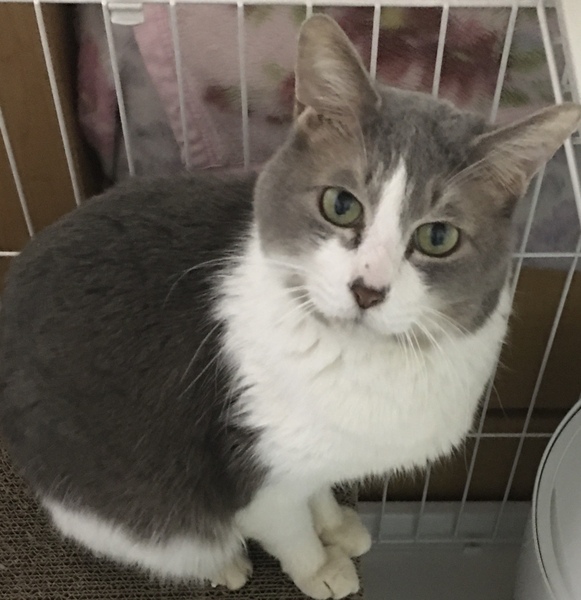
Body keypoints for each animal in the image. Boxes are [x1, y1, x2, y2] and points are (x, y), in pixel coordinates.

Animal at [1, 14, 580, 600]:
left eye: (437, 237)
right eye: (341, 205)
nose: (367, 289)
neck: (361, 361)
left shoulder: (318, 452)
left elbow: (317, 490)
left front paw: (337, 525)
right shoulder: (254, 471)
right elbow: (287, 526)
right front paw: (319, 567)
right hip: (115, 504)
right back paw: (223, 565)